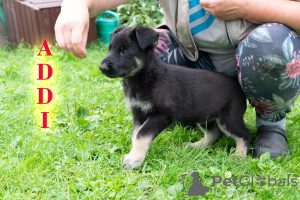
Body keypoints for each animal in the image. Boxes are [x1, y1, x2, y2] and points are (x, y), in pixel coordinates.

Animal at [99, 25, 250, 169]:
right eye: (110, 49)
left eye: (124, 51)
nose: (101, 68)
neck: (143, 76)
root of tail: (238, 85)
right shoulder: (138, 114)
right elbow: (135, 135)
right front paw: (133, 155)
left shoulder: (162, 114)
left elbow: (141, 135)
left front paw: (133, 159)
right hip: (204, 115)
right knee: (214, 134)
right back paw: (196, 146)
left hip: (228, 118)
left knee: (244, 133)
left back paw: (240, 155)